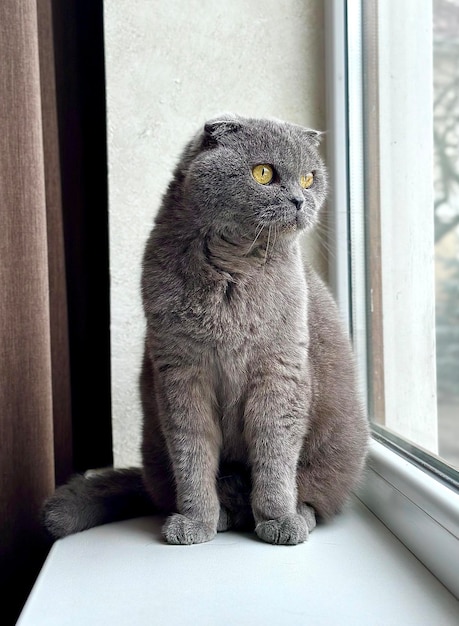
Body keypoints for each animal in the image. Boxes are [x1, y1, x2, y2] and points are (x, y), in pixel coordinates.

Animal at [43, 114, 370, 544]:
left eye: (309, 178)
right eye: (263, 173)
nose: (301, 200)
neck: (235, 267)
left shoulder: (279, 370)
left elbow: (275, 449)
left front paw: (278, 519)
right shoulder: (181, 374)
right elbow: (192, 453)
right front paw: (195, 521)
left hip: (338, 452)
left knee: (314, 495)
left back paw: (295, 515)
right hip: (155, 455)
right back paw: (224, 515)